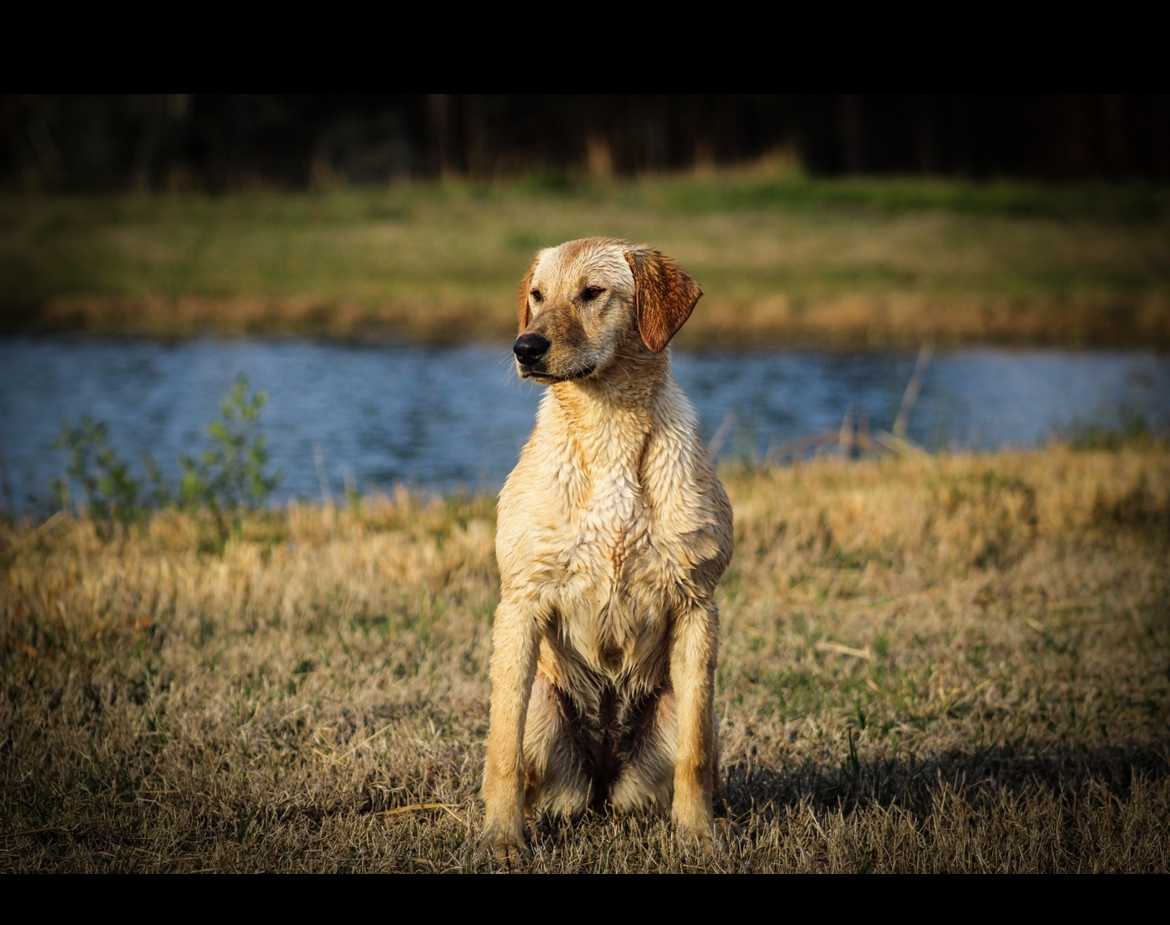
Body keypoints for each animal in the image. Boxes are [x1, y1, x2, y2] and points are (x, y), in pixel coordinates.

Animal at [482, 238, 730, 860]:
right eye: (537, 295)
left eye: (592, 293)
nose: (525, 347)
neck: (608, 429)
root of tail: (601, 778)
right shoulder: (519, 603)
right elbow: (502, 750)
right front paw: (501, 839)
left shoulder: (698, 604)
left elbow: (694, 758)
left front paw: (697, 835)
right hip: (544, 707)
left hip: (678, 707)